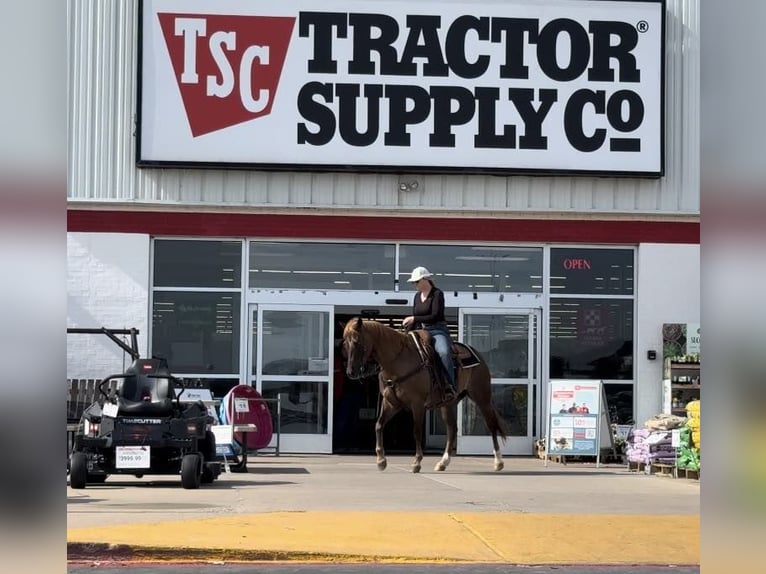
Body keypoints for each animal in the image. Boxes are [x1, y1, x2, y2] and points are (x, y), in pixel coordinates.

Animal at [344, 318, 508, 474]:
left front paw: (416, 462)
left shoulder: (417, 404)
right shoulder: (391, 403)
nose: (351, 372)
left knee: (491, 425)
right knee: (452, 429)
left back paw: (498, 462)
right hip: (448, 404)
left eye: (357, 341)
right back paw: (443, 462)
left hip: (481, 397)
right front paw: (381, 460)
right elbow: (378, 425)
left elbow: (417, 431)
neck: (398, 361)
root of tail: (477, 353)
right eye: (345, 343)